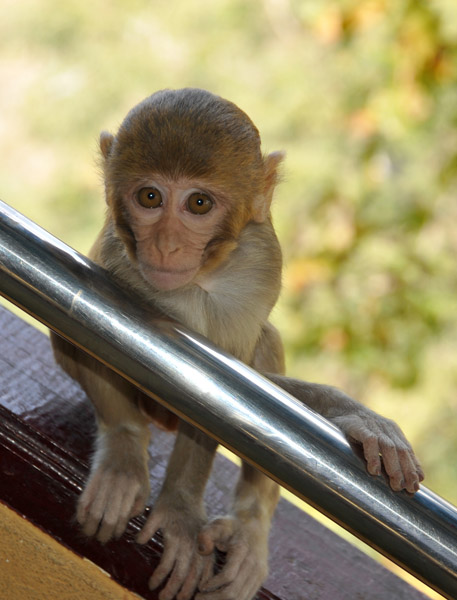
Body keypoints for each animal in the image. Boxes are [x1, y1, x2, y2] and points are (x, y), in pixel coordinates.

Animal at [50, 88, 424, 600]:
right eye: (150, 197)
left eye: (199, 203)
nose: (166, 245)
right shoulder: (113, 259)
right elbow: (93, 338)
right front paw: (127, 457)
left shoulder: (261, 266)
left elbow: (226, 390)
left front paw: (362, 419)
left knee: (266, 346)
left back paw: (250, 526)